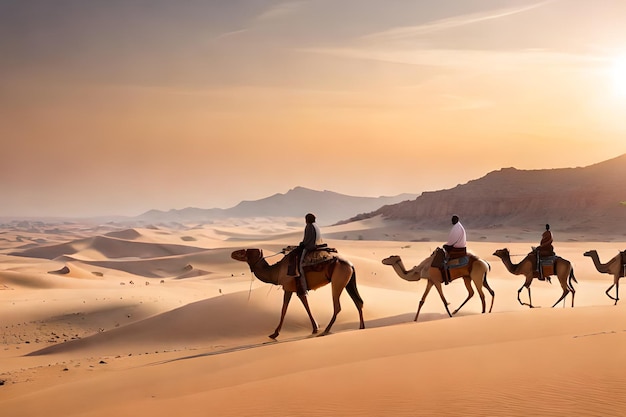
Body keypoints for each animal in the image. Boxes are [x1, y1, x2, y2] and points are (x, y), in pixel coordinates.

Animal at [232, 247, 364, 338]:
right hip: (348, 282)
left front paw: (274, 334)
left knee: (337, 306)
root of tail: (351, 265)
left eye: (244, 252)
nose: (232, 253)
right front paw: (315, 328)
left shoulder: (289, 287)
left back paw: (326, 330)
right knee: (358, 301)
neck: (276, 271)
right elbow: (303, 305)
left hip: (337, 280)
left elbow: (284, 309)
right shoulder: (297, 288)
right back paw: (361, 326)